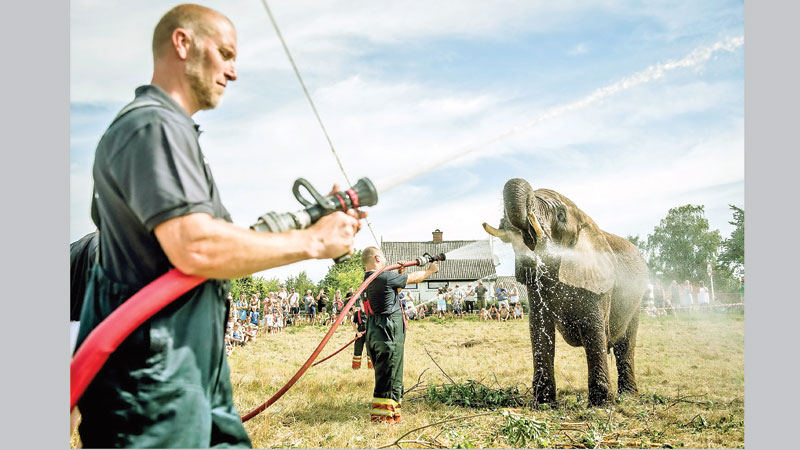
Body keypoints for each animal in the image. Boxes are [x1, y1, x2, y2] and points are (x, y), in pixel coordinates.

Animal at [484, 178, 648, 406]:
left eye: (561, 215)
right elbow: (539, 328)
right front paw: (544, 402)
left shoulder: (597, 282)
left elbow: (593, 328)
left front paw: (600, 404)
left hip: (636, 298)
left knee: (625, 346)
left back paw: (628, 397)